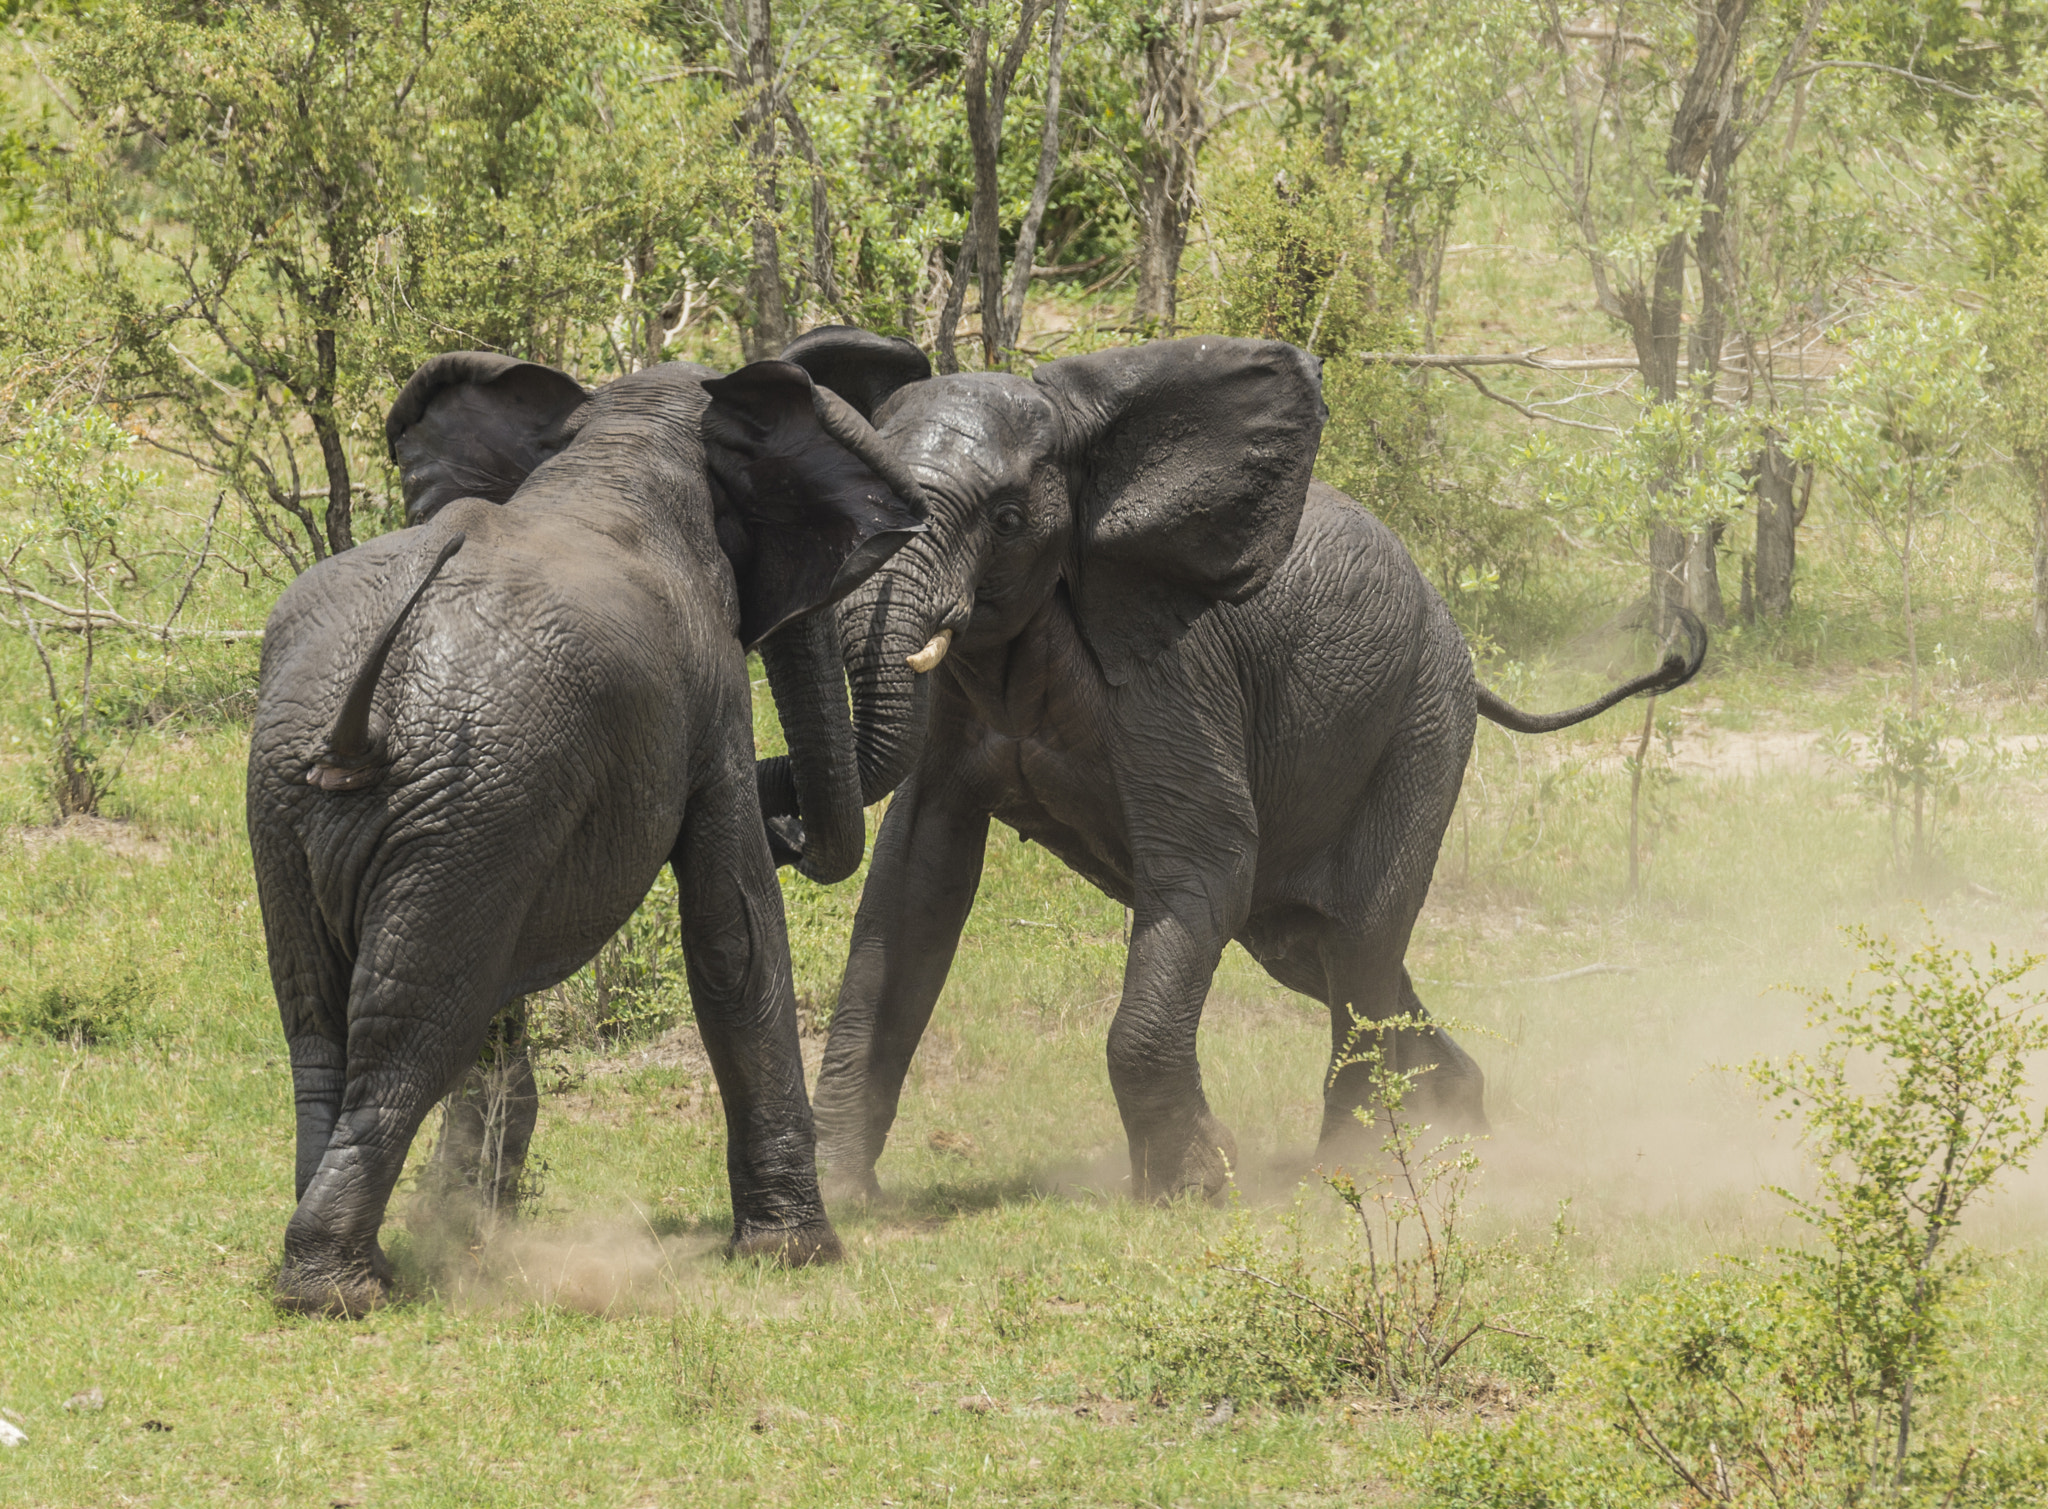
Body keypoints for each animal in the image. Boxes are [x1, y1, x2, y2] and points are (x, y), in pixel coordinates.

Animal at [248, 351, 924, 1313]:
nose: (788, 823)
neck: (619, 438)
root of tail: (358, 720)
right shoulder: (709, 695)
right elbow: (734, 933)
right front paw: (798, 1255)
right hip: (467, 797)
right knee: (410, 1033)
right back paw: (344, 1292)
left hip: (312, 791)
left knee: (319, 1023)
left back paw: (350, 1267)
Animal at [755, 329, 1705, 1202]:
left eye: (1006, 518)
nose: (783, 818)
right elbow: (913, 882)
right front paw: (843, 1193)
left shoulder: (1174, 673)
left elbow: (1208, 860)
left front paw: (1197, 1186)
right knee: (1315, 949)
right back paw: (1458, 1119)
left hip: (1421, 723)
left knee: (1360, 938)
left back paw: (1352, 1171)